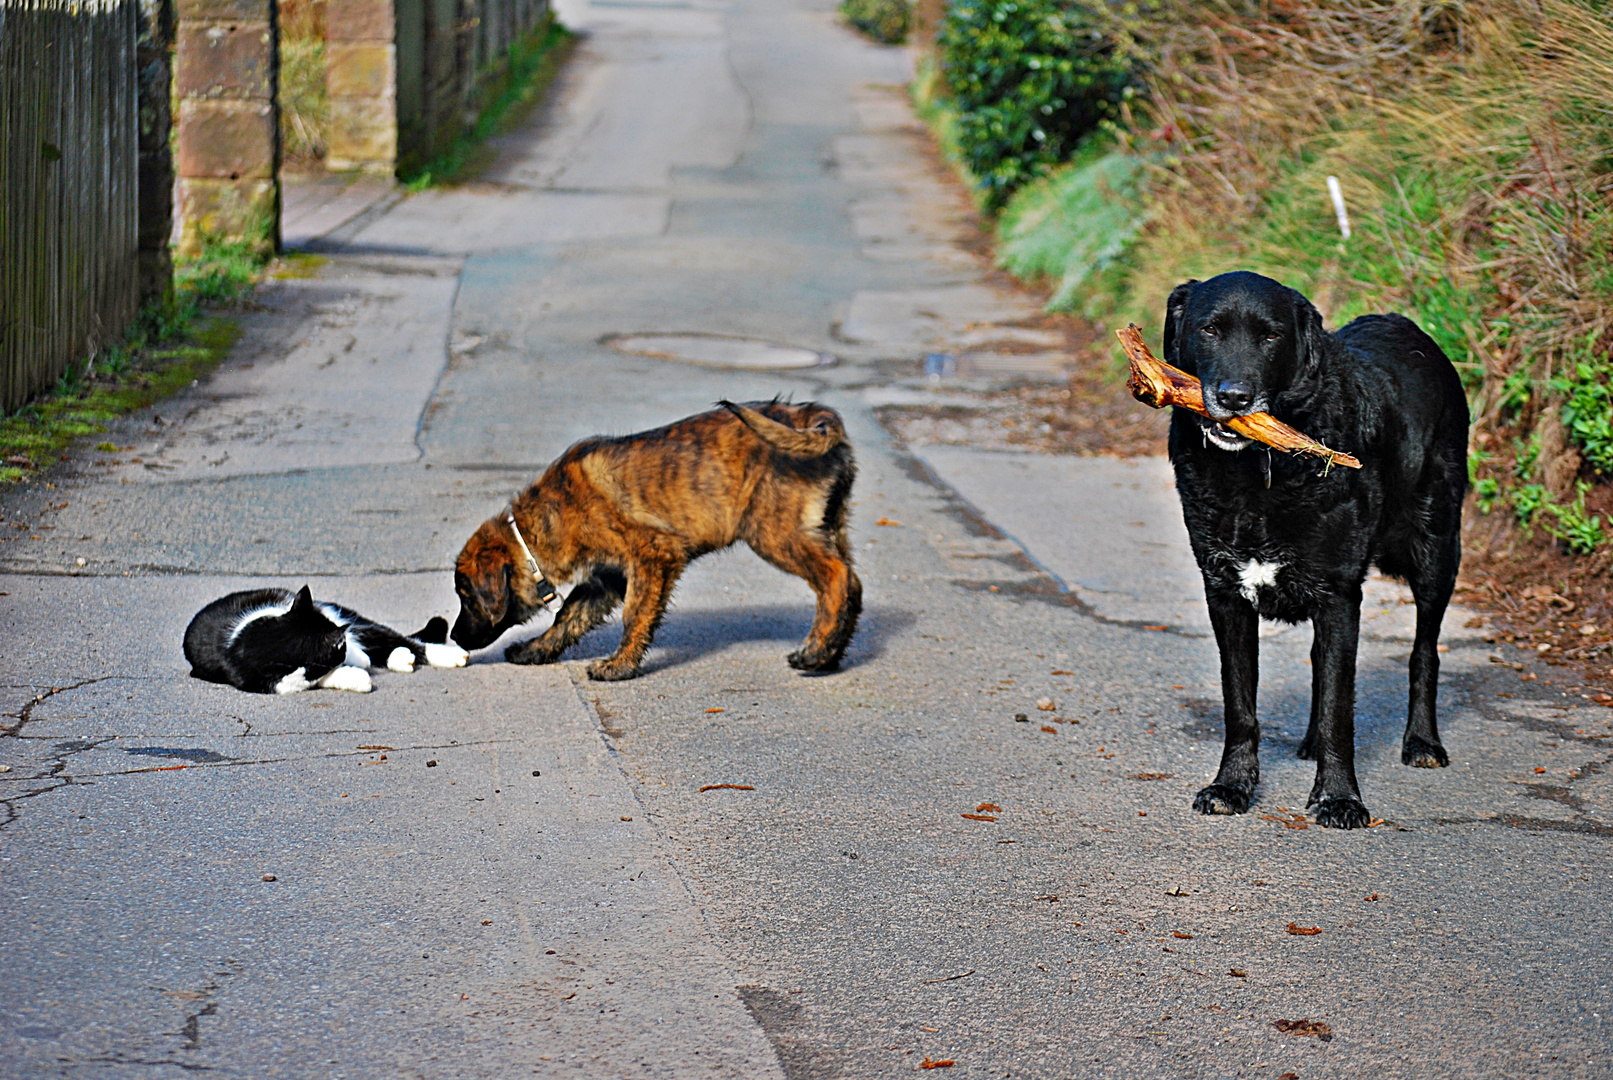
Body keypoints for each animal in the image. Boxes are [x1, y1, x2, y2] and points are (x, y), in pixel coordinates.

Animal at [187, 586, 470, 699]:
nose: (346, 649)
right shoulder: (274, 682)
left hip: (342, 613)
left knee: (393, 637)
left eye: (341, 646)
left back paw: (448, 655)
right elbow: (317, 676)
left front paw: (360, 660)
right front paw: (356, 676)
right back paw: (400, 658)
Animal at [448, 401, 864, 680]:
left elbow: (635, 613)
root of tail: (809, 415)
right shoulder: (606, 577)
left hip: (774, 531)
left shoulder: (654, 554)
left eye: (466, 596)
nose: (453, 636)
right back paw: (829, 654)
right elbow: (569, 617)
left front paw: (619, 666)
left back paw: (813, 651)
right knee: (853, 585)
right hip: (828, 525)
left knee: (836, 578)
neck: (543, 524)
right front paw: (535, 650)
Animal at [1167, 270, 1471, 831]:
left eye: (1270, 336)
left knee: (1424, 651)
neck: (1259, 472)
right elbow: (1240, 705)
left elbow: (1338, 711)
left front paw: (1339, 798)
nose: (1234, 397)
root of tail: (1409, 327)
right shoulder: (1225, 595)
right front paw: (1231, 786)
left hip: (1437, 551)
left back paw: (1421, 741)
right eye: (1209, 329)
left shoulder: (1339, 597)